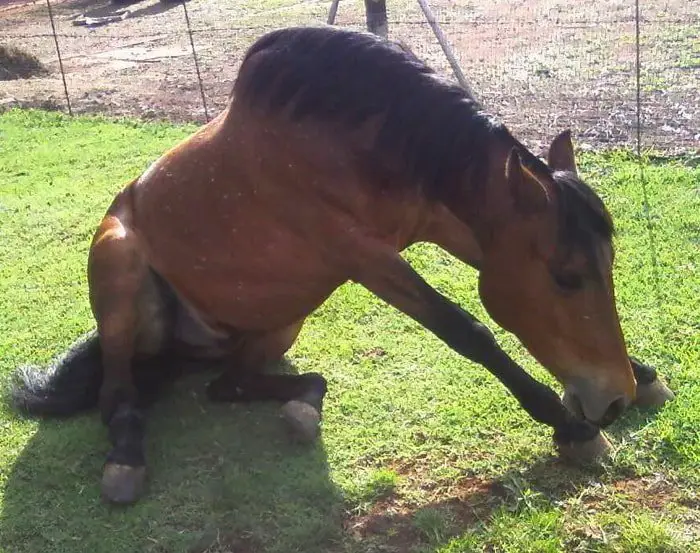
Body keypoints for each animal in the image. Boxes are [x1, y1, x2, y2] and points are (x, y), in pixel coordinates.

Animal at [9, 25, 672, 502]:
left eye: (606, 266)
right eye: (565, 276)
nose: (612, 399)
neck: (351, 134)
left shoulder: (445, 224)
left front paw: (641, 377)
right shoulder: (360, 253)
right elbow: (466, 329)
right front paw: (573, 429)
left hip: (282, 321)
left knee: (228, 385)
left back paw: (302, 406)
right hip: (119, 269)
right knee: (118, 396)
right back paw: (125, 458)